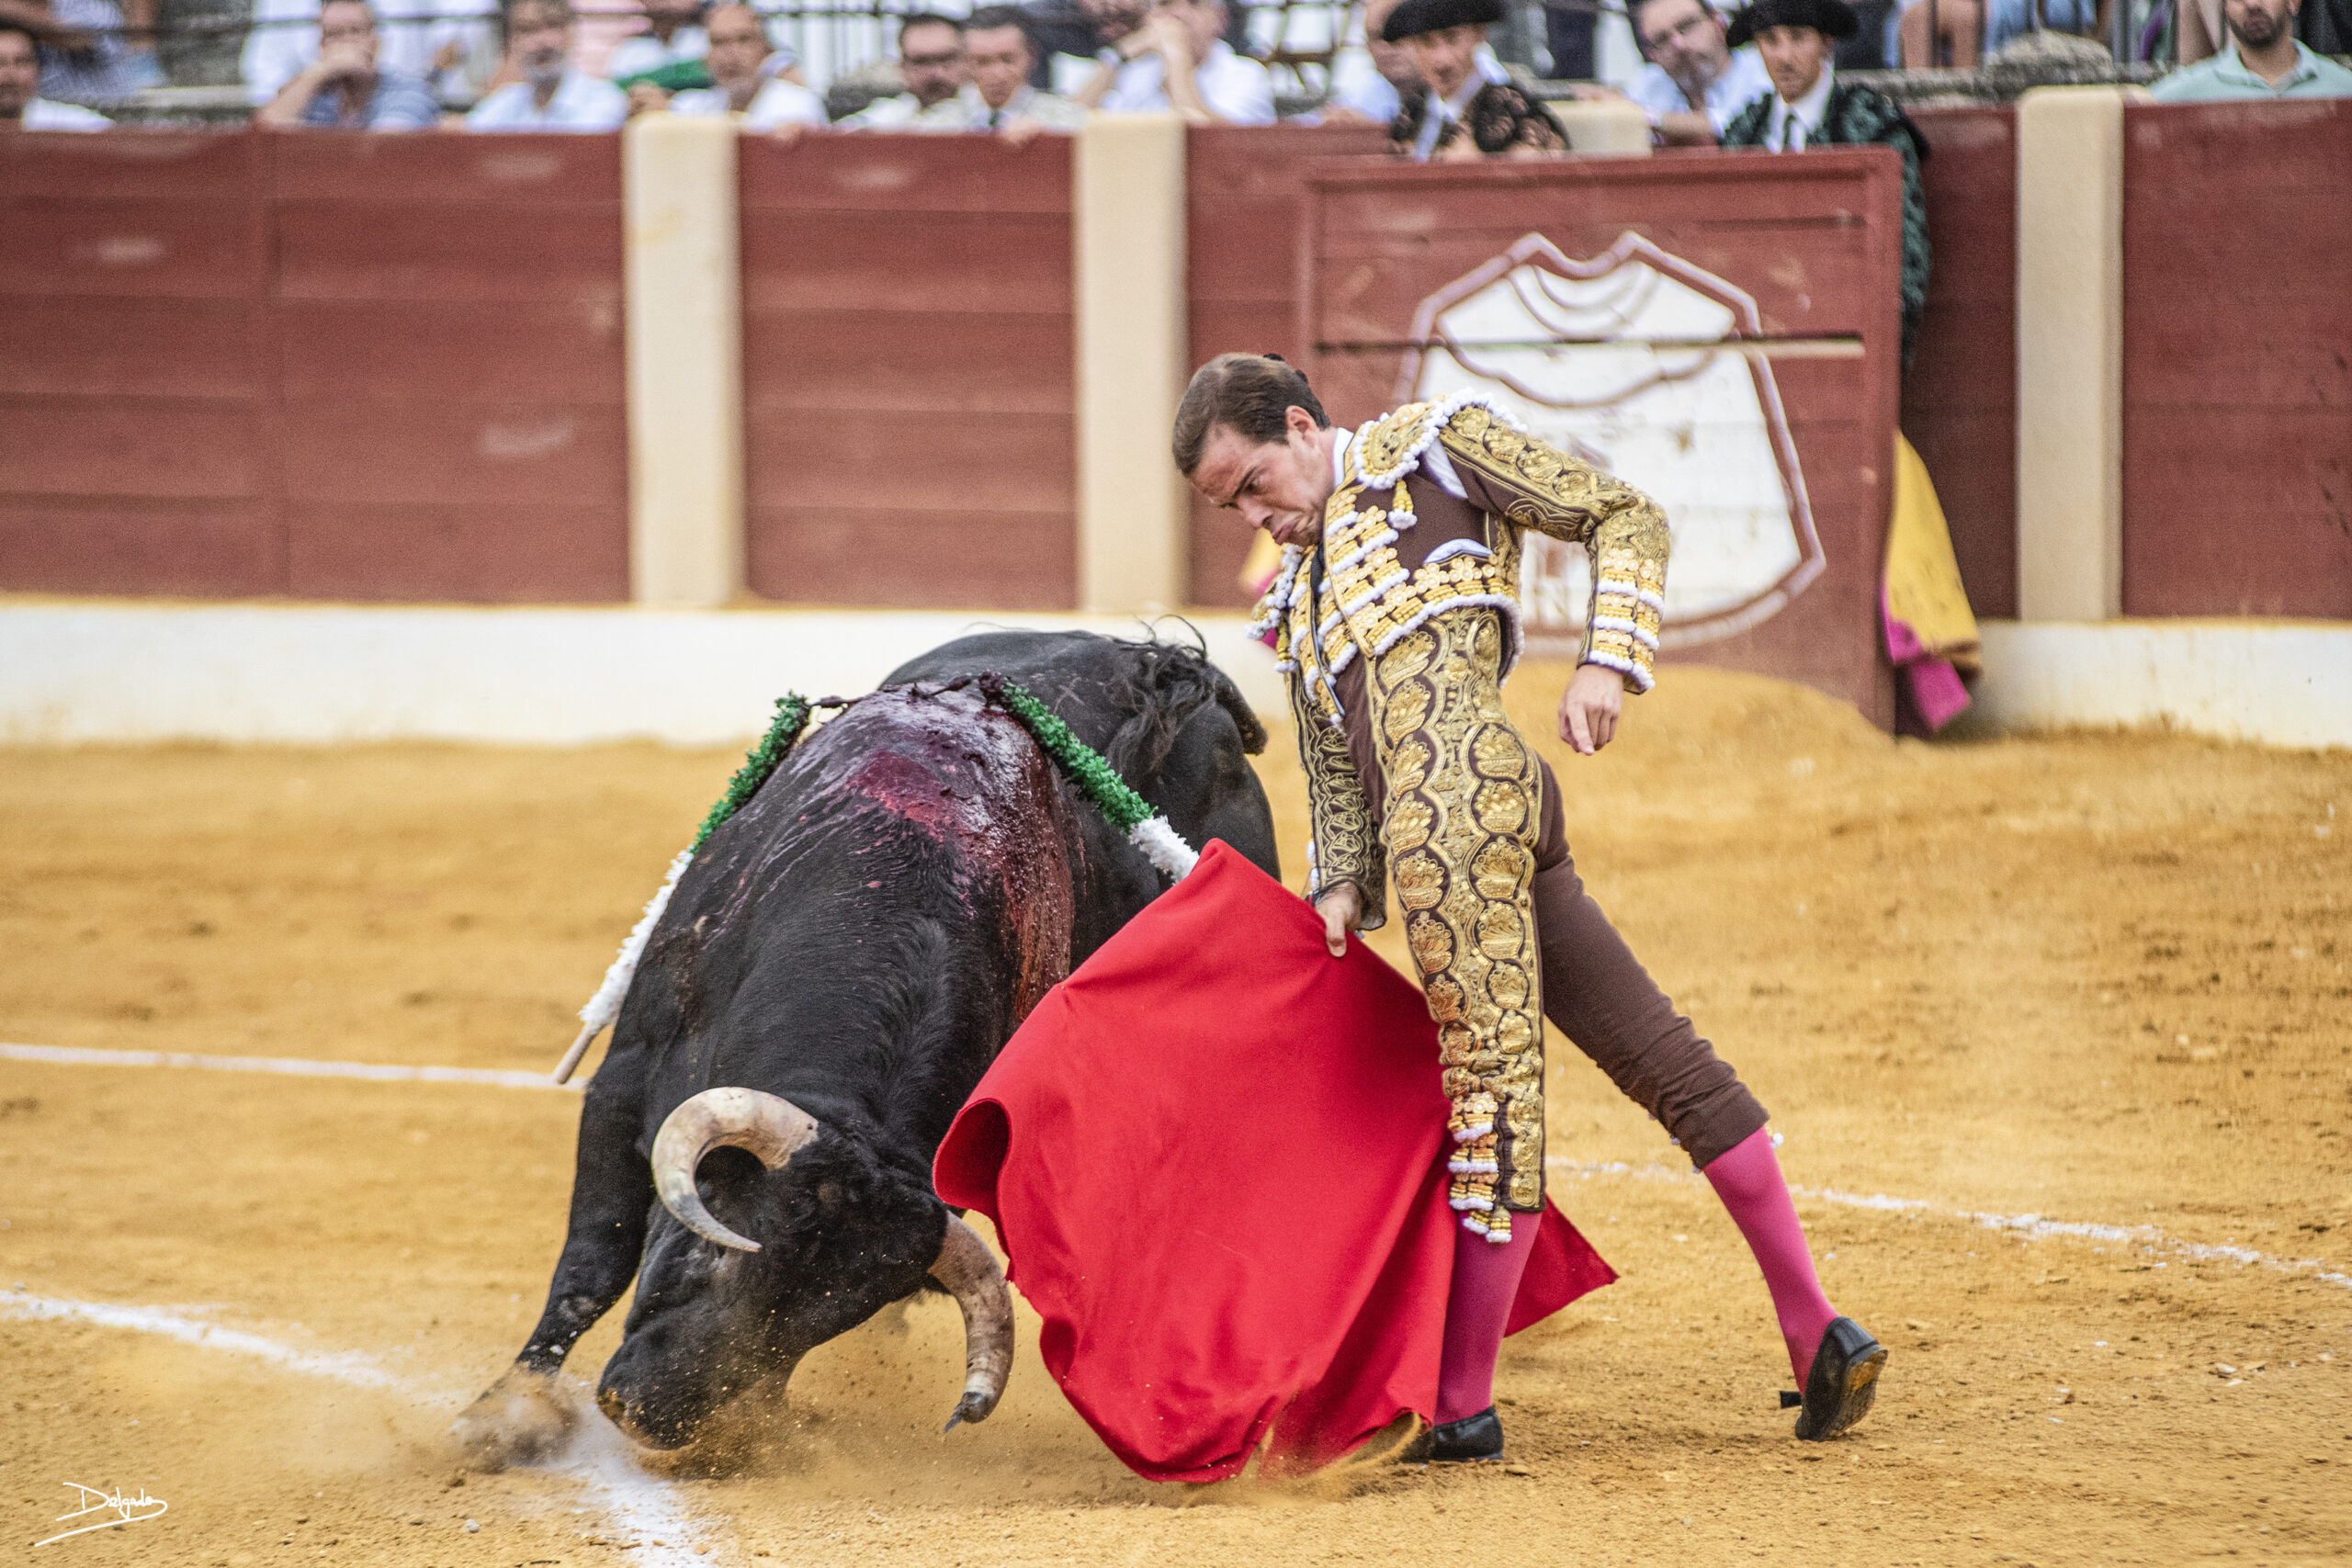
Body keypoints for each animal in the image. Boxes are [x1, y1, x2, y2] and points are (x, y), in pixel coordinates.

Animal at [448, 629, 1279, 1466]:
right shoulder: (625, 1077)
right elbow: (593, 1258)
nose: (657, 1412)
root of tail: (1155, 662)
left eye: (823, 1322)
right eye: (716, 1251)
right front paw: (506, 1415)